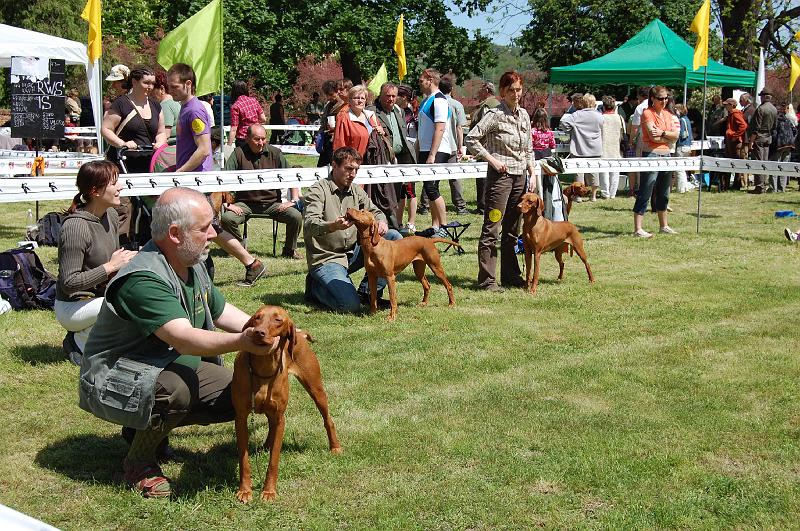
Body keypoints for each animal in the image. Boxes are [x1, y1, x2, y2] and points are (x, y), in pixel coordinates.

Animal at [233, 306, 342, 500]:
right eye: (257, 318)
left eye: (278, 320)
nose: (258, 332)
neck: (264, 366)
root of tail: (300, 334)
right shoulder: (241, 418)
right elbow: (244, 460)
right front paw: (245, 490)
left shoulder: (280, 418)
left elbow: (274, 461)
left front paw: (269, 491)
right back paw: (266, 446)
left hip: (316, 389)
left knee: (328, 419)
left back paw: (335, 447)